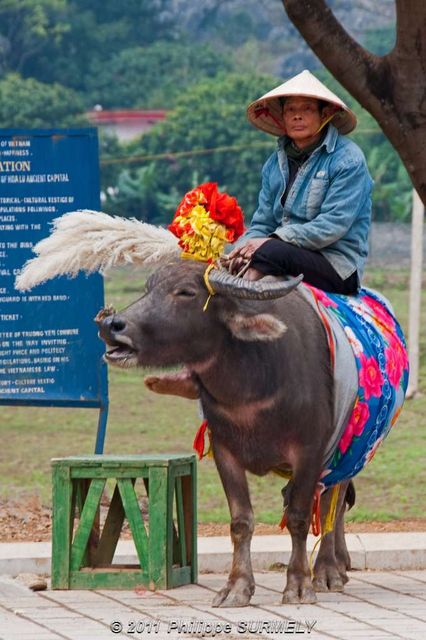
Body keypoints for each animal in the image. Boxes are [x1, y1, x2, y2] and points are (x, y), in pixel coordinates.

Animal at [97, 260, 352, 604]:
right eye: (148, 287)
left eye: (186, 292)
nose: (110, 325)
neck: (252, 389)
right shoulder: (224, 450)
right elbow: (241, 522)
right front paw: (237, 587)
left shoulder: (310, 451)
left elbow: (299, 517)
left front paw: (299, 585)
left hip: (347, 449)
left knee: (330, 506)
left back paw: (328, 571)